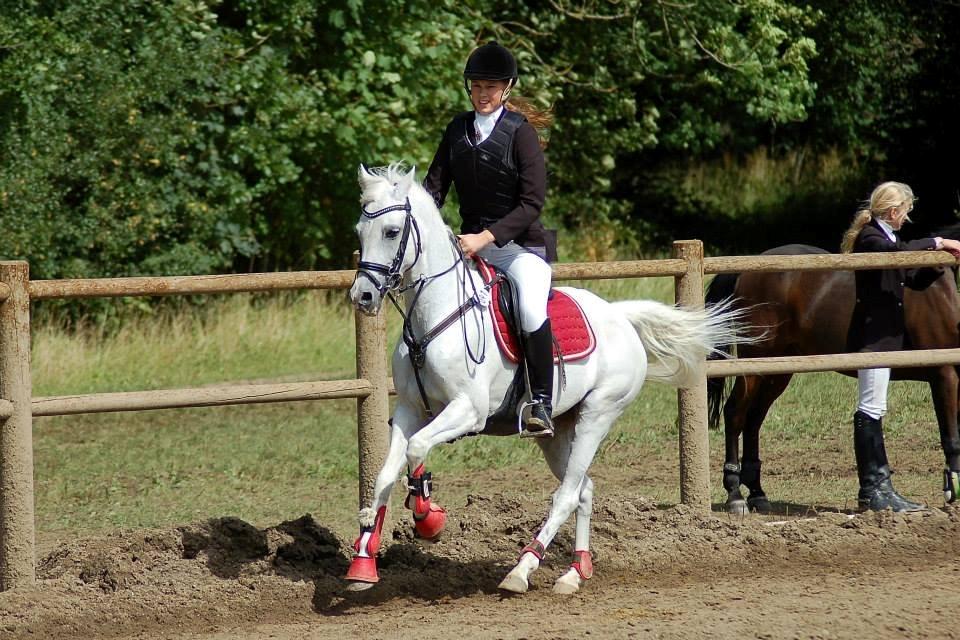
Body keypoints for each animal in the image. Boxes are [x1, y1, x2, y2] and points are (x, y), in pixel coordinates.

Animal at [348, 165, 748, 596]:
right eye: (360, 232)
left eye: (391, 232)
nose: (362, 296)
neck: (435, 319)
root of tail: (620, 316)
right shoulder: (410, 410)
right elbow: (385, 474)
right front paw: (363, 562)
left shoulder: (467, 411)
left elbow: (418, 448)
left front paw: (428, 518)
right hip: (558, 432)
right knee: (584, 490)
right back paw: (575, 571)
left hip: (597, 416)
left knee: (567, 496)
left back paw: (522, 570)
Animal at [704, 242, 960, 512]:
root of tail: (748, 269)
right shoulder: (943, 374)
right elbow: (951, 438)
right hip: (755, 363)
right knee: (735, 413)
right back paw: (735, 495)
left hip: (777, 371)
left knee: (754, 420)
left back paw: (757, 494)